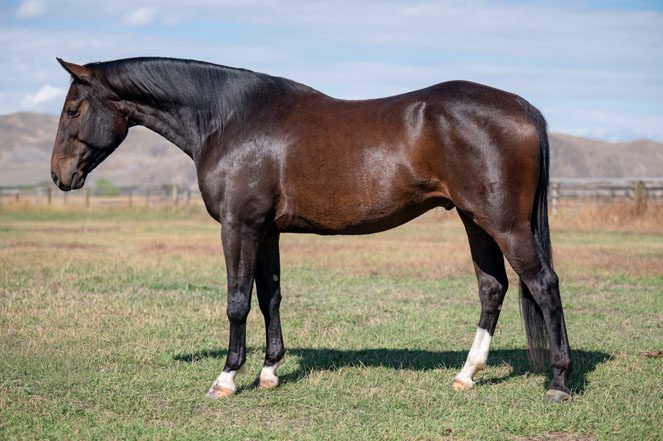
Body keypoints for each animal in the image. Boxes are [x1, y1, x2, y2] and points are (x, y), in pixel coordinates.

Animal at [50, 57, 573, 402]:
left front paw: (226, 378)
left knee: (543, 284)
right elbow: (270, 296)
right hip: (475, 221)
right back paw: (468, 374)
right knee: (493, 287)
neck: (230, 120)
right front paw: (269, 371)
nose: (59, 175)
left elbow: (237, 301)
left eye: (73, 109)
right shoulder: (266, 231)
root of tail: (522, 107)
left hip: (504, 224)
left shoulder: (239, 226)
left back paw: (560, 382)